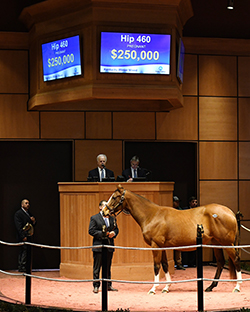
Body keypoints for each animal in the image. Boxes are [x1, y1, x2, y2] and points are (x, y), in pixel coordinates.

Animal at [102, 184, 241, 294]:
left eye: (114, 197)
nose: (104, 212)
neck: (152, 215)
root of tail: (230, 212)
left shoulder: (155, 245)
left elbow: (156, 266)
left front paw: (153, 289)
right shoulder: (161, 246)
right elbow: (164, 265)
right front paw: (166, 287)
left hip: (227, 243)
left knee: (235, 259)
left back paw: (237, 287)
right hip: (216, 243)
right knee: (220, 262)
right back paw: (211, 287)